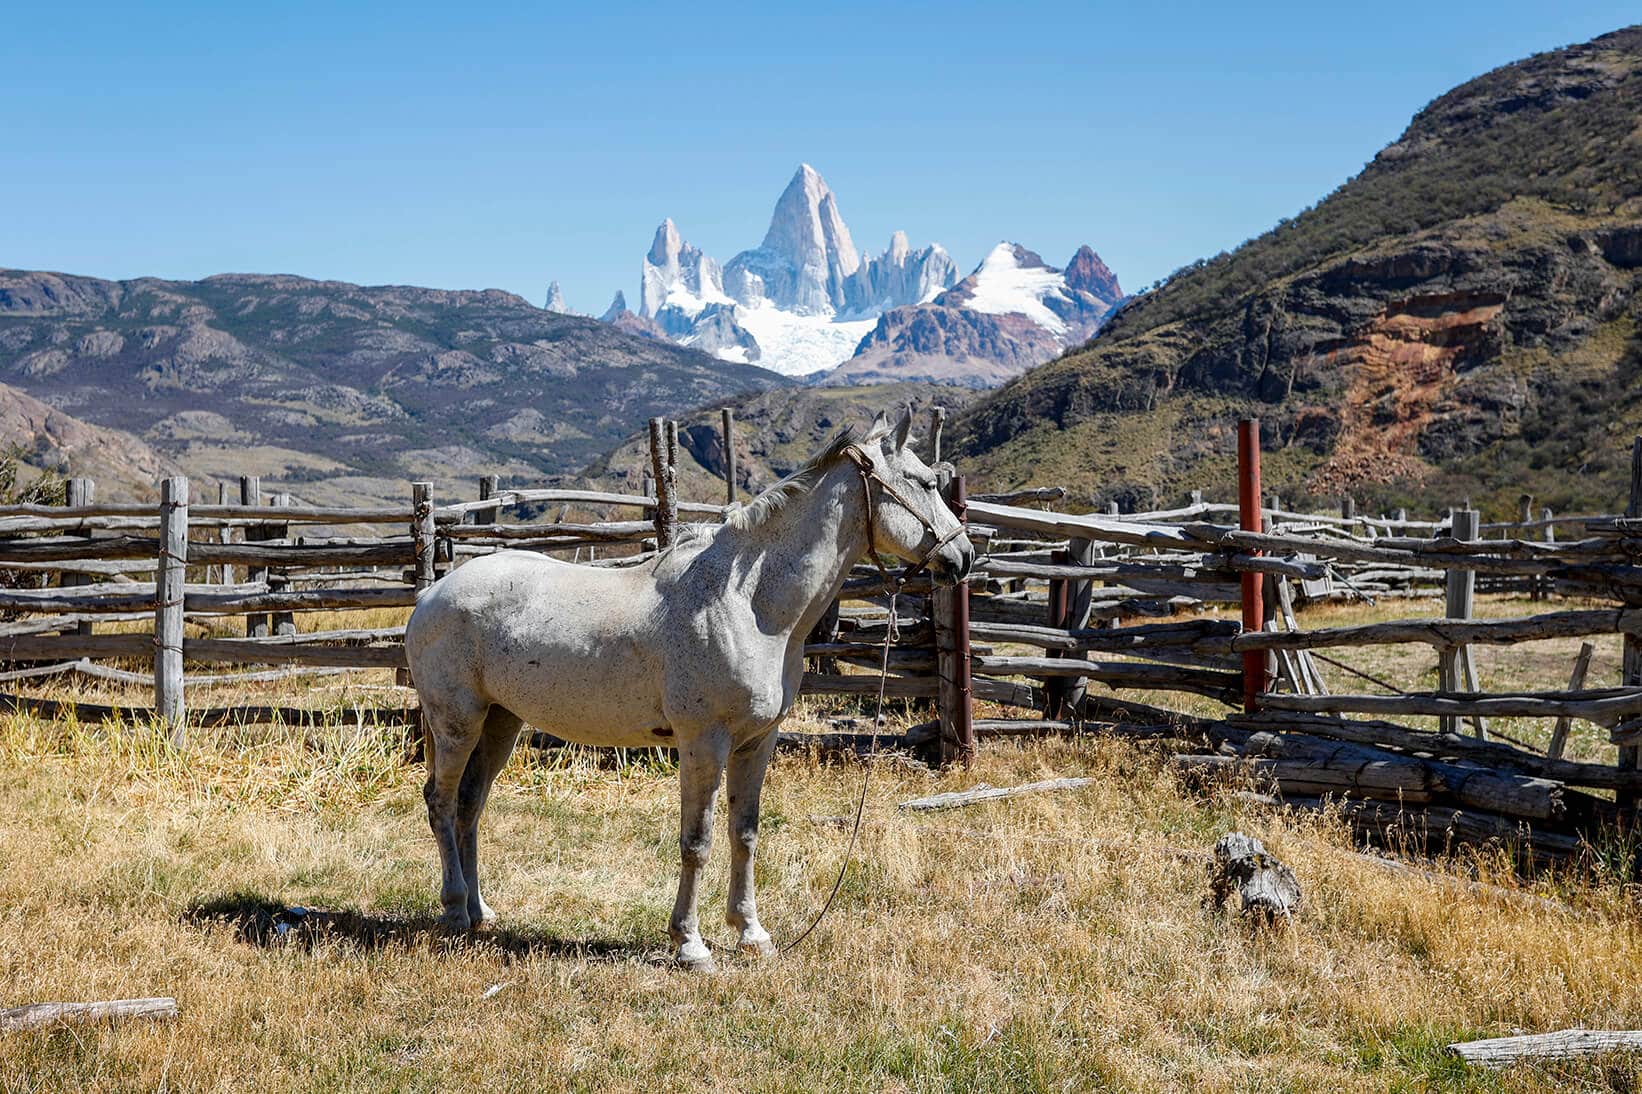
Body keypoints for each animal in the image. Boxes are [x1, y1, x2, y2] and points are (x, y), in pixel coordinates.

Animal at [403, 407, 975, 970]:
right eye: (925, 482)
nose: (965, 557)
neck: (745, 602)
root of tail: (432, 593)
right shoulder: (704, 742)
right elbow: (696, 841)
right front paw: (690, 944)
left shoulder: (756, 742)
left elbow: (745, 833)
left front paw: (751, 933)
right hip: (457, 725)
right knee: (441, 802)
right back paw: (454, 911)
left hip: (500, 722)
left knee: (470, 806)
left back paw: (480, 912)